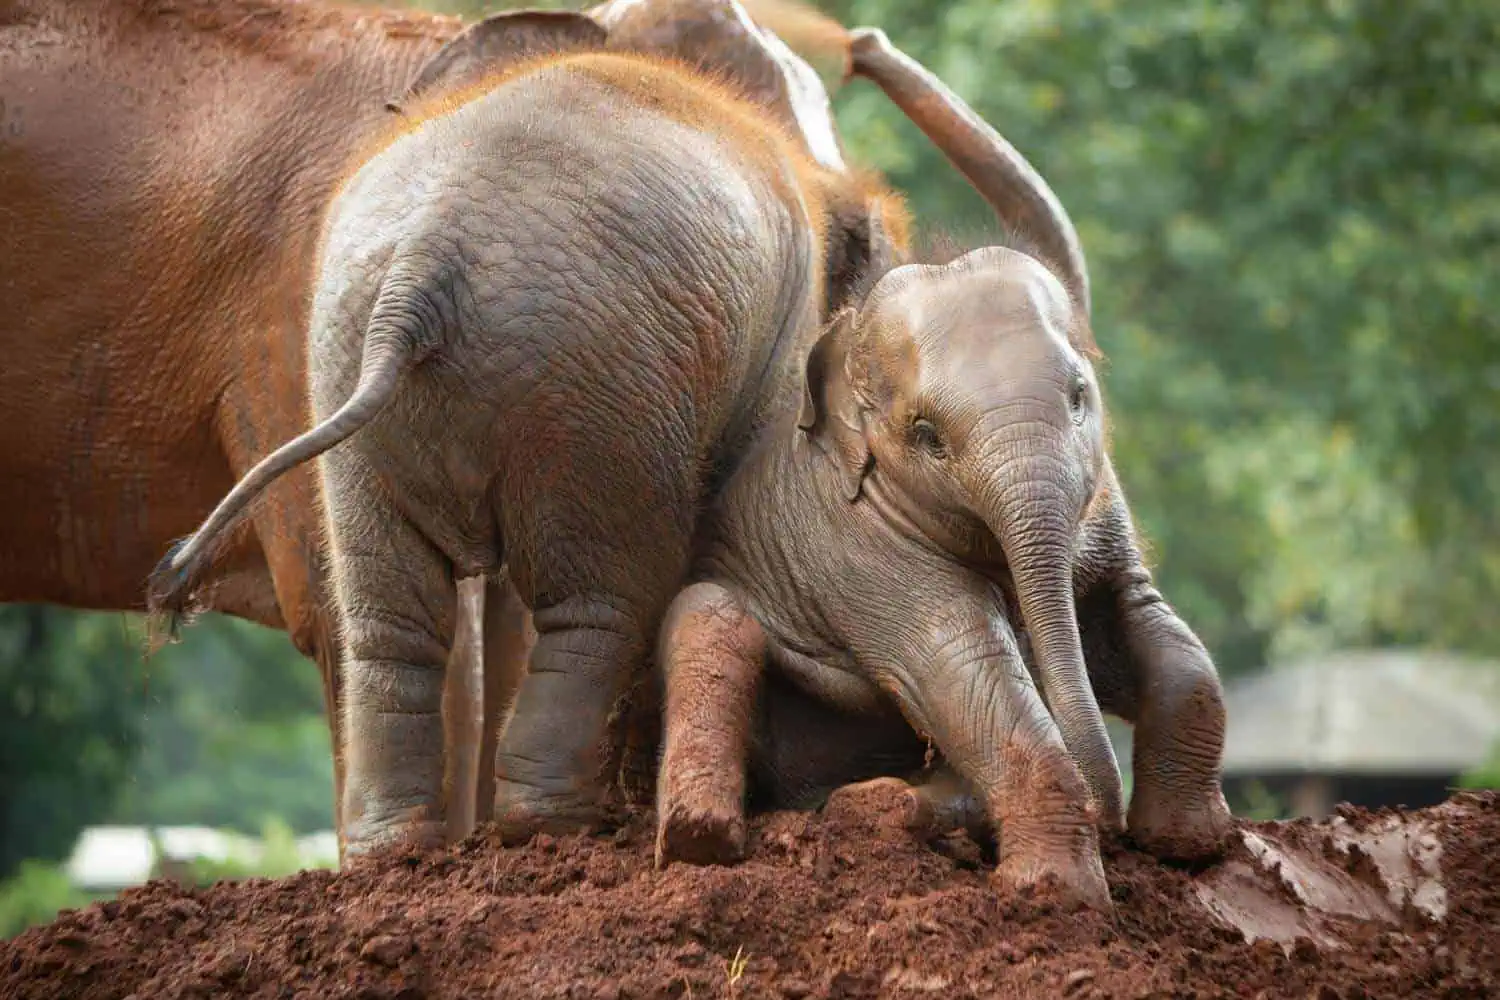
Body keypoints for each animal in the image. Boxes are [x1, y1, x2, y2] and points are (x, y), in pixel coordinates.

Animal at [0, 0, 873, 851]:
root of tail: (423, 270)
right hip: (591, 378)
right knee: (594, 596)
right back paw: (551, 830)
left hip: (390, 356)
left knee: (392, 619)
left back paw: (405, 849)